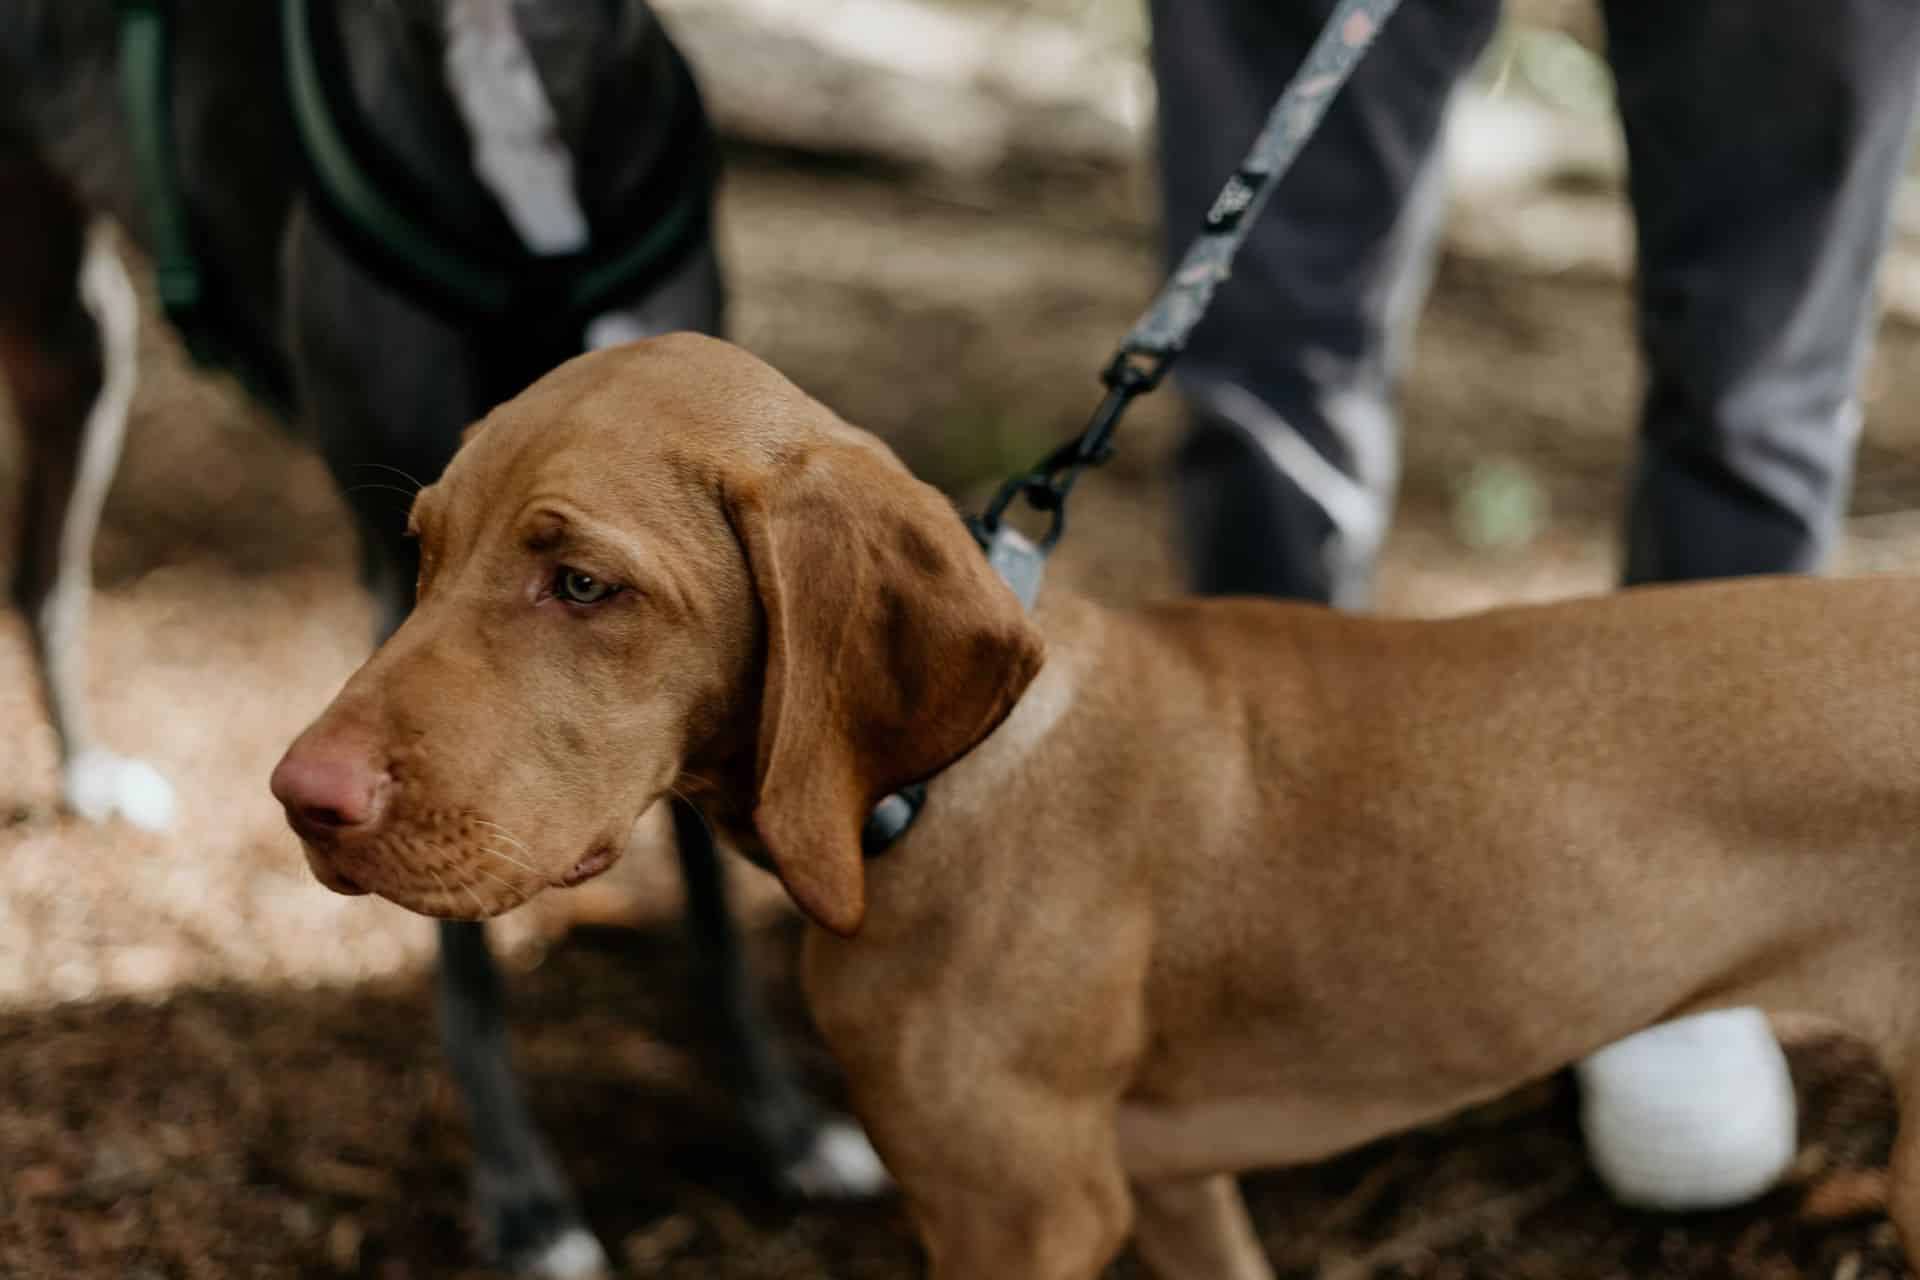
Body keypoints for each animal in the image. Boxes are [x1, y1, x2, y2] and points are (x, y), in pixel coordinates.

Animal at [0, 5, 883, 1274]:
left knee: (43, 575)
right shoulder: (402, 561)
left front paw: (790, 1125)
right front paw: (526, 1199)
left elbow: (712, 899)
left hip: (77, 349)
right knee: (45, 571)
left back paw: (81, 773)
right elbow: (464, 956)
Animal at [274, 335, 1920, 1274]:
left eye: (583, 583)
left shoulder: (1019, 1215)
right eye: (421, 553)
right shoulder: (1169, 1188)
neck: (925, 798)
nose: (301, 797)